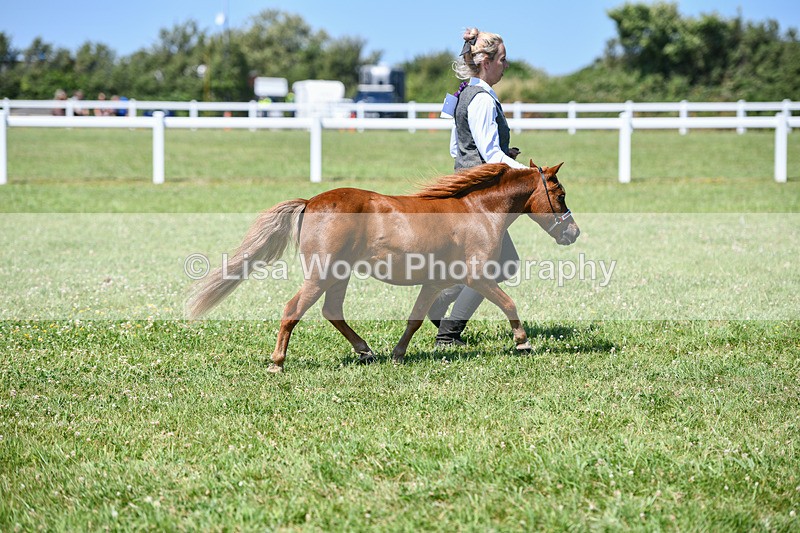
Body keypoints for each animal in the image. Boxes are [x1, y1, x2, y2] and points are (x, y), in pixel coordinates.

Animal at [187, 160, 580, 372]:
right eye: (560, 195)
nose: (573, 232)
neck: (478, 212)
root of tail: (311, 201)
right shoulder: (477, 276)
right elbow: (509, 303)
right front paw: (522, 343)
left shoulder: (434, 282)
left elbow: (415, 319)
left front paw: (398, 354)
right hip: (322, 274)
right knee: (292, 310)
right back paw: (277, 362)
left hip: (339, 276)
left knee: (332, 311)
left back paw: (364, 349)